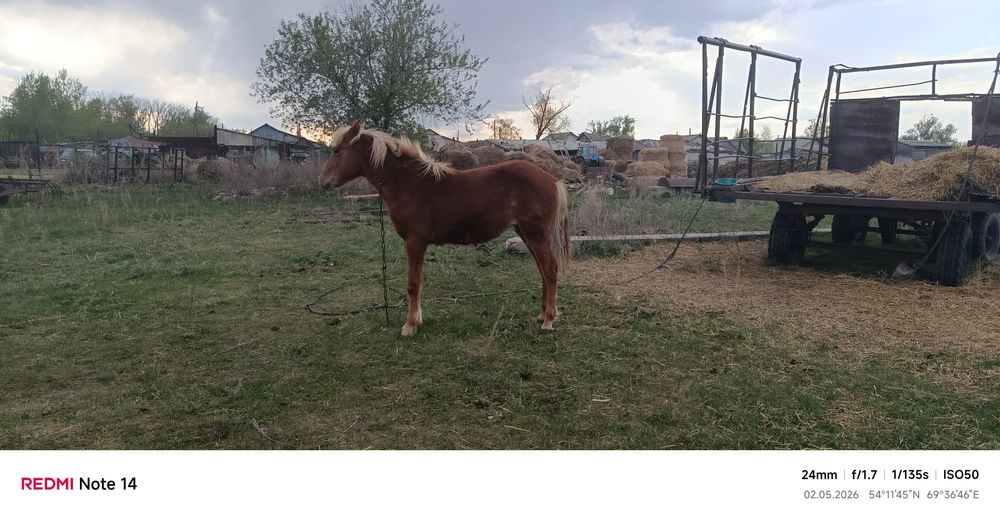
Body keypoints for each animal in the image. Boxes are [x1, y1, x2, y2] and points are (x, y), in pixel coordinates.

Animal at [319, 120, 571, 337]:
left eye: (337, 151)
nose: (323, 182)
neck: (409, 184)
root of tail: (552, 179)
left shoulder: (414, 241)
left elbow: (413, 284)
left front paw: (409, 325)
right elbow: (418, 283)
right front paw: (417, 320)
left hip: (535, 233)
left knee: (550, 269)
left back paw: (548, 321)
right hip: (526, 233)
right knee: (543, 271)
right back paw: (542, 315)